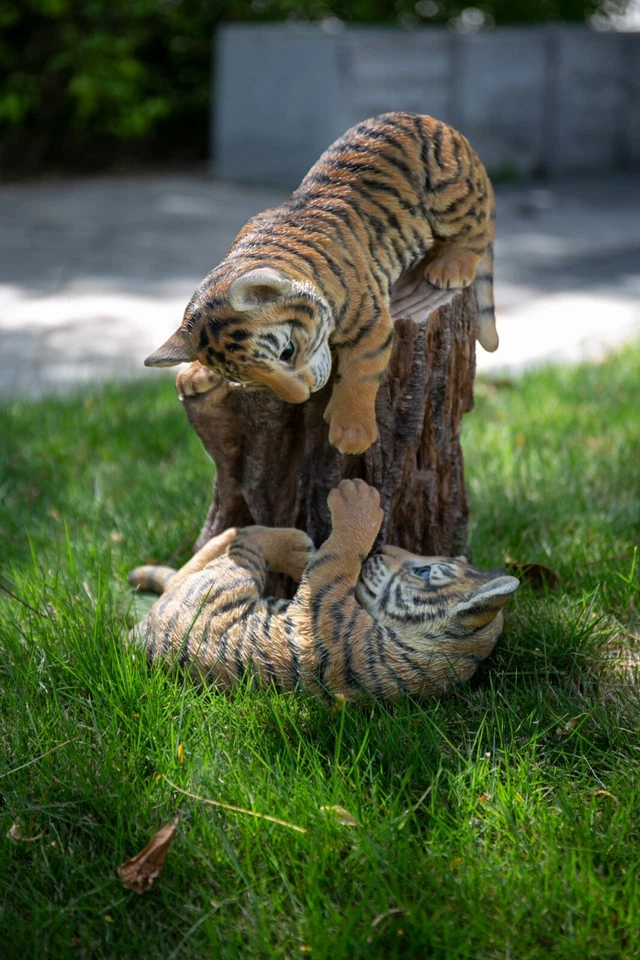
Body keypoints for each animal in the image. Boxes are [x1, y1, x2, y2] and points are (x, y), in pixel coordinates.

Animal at [128, 480, 518, 701]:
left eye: (424, 571)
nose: (383, 549)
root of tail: (138, 633)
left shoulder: (321, 609)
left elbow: (338, 554)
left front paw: (357, 500)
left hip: (225, 584)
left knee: (242, 545)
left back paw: (267, 538)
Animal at [144, 112, 498, 456]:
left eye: (287, 351)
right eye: (252, 381)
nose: (302, 397)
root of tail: (442, 125)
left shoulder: (371, 321)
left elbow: (362, 370)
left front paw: (352, 432)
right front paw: (194, 374)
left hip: (448, 190)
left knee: (475, 232)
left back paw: (450, 267)